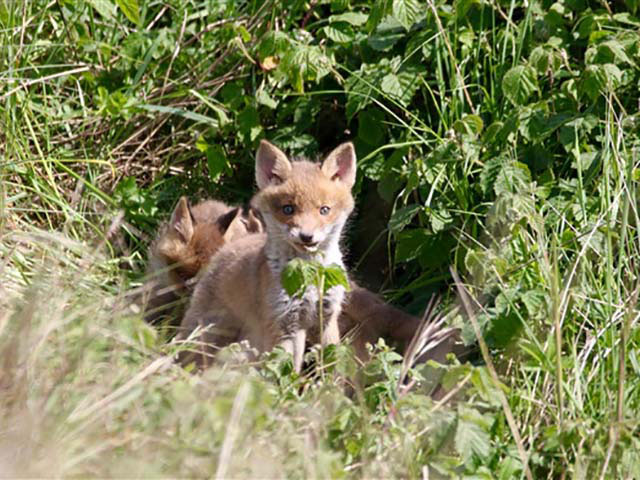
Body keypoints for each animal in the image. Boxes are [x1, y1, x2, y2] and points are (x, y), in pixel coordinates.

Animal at [179, 140, 359, 371]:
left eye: (324, 210)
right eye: (288, 209)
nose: (306, 236)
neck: (310, 278)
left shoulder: (326, 318)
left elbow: (332, 367)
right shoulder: (283, 323)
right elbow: (284, 372)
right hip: (209, 333)